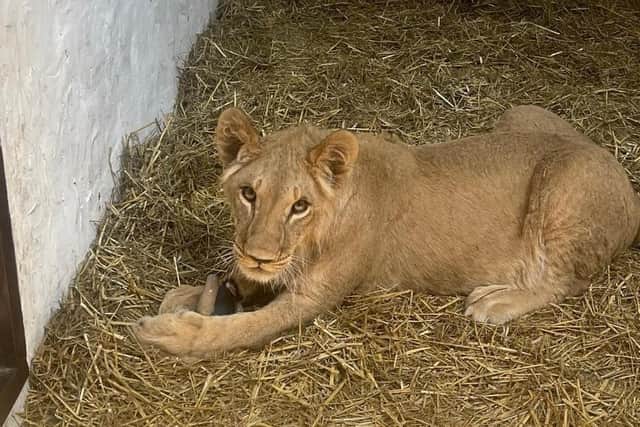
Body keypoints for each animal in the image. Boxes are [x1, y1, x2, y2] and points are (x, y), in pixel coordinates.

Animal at [133, 105, 640, 358]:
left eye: (300, 206)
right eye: (248, 194)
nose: (258, 254)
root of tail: (620, 170)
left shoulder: (314, 298)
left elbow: (244, 327)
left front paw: (174, 334)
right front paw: (186, 296)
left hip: (564, 182)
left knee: (565, 280)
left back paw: (495, 301)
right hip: (521, 112)